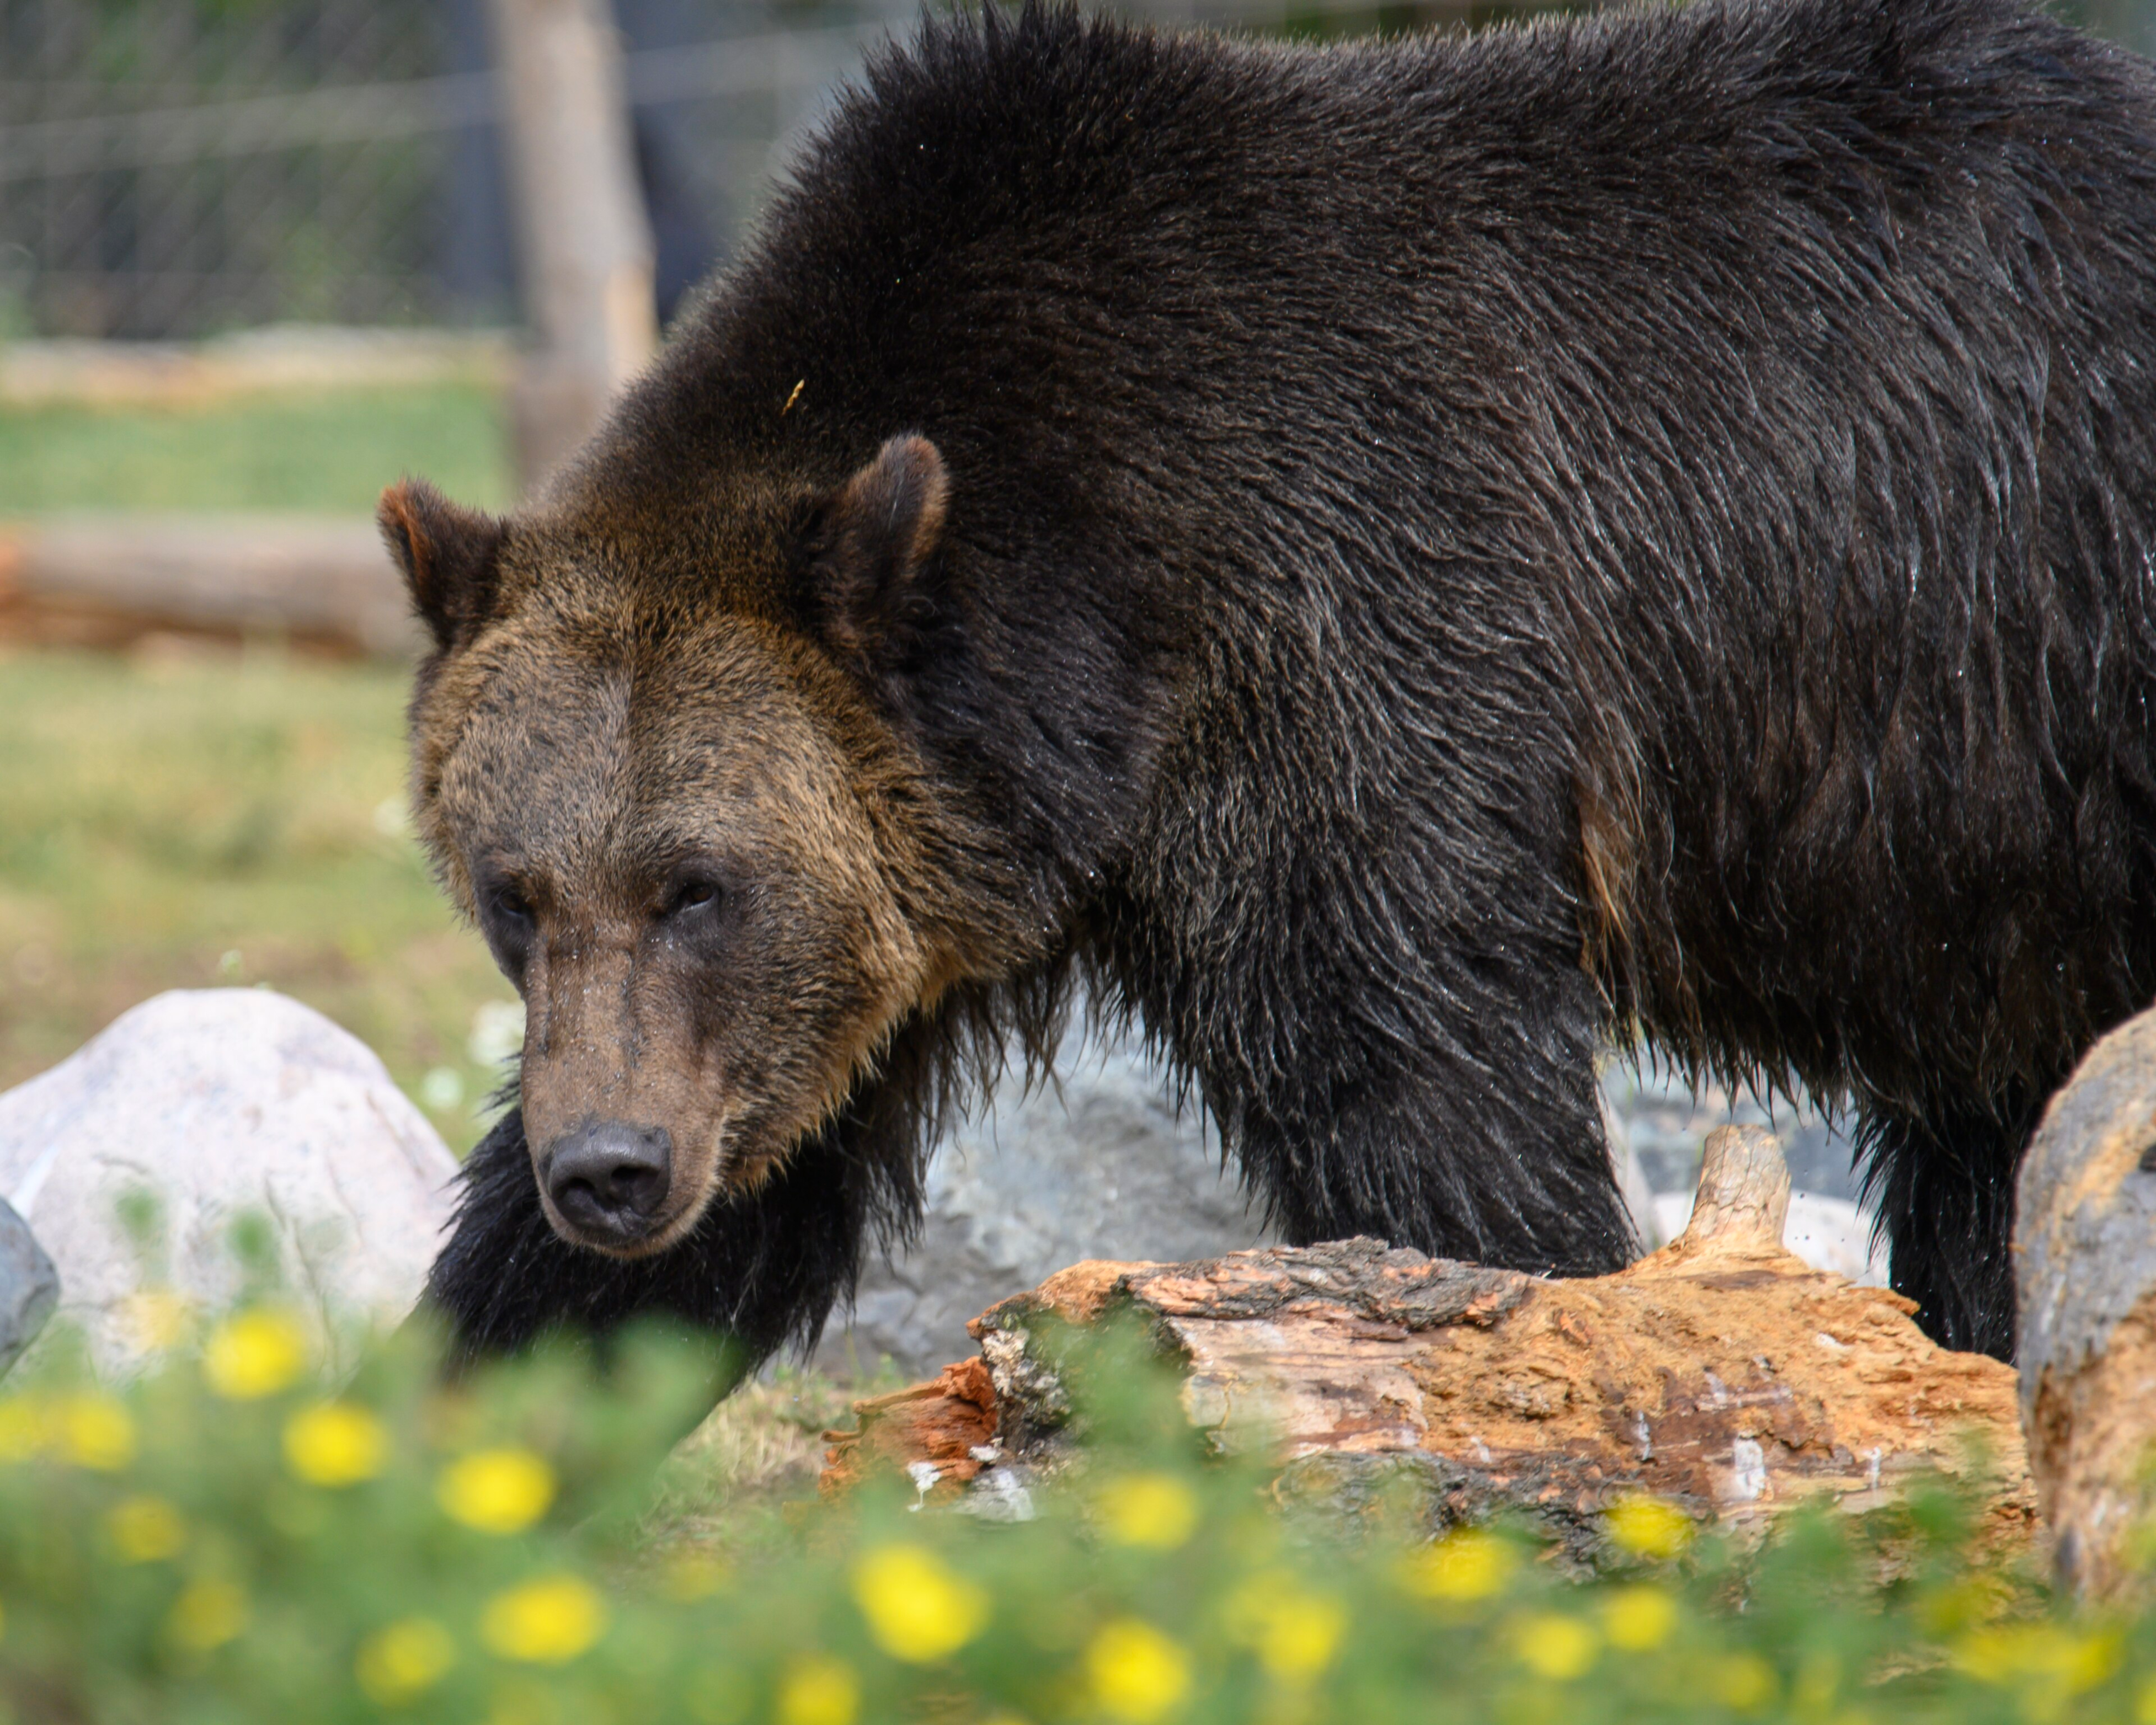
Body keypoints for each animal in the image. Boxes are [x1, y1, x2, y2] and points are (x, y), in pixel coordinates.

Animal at [383, 0, 2156, 1372]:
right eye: (517, 891)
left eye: (698, 881)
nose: (608, 1167)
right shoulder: (906, 896)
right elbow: (739, 1191)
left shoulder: (1355, 634)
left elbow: (1427, 1095)